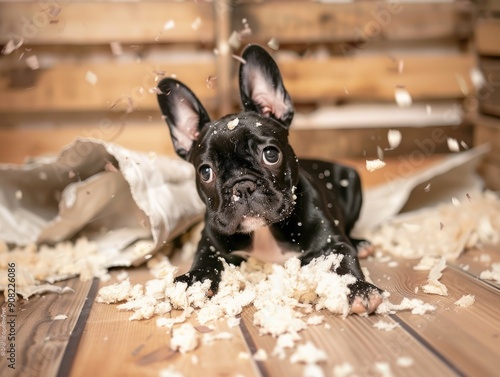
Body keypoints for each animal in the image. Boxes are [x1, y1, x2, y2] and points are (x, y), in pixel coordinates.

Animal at [156, 44, 382, 314]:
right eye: (206, 172)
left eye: (270, 154)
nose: (242, 186)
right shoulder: (210, 246)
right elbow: (203, 263)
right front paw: (192, 282)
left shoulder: (333, 245)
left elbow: (344, 263)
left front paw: (358, 288)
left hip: (352, 181)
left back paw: (361, 243)